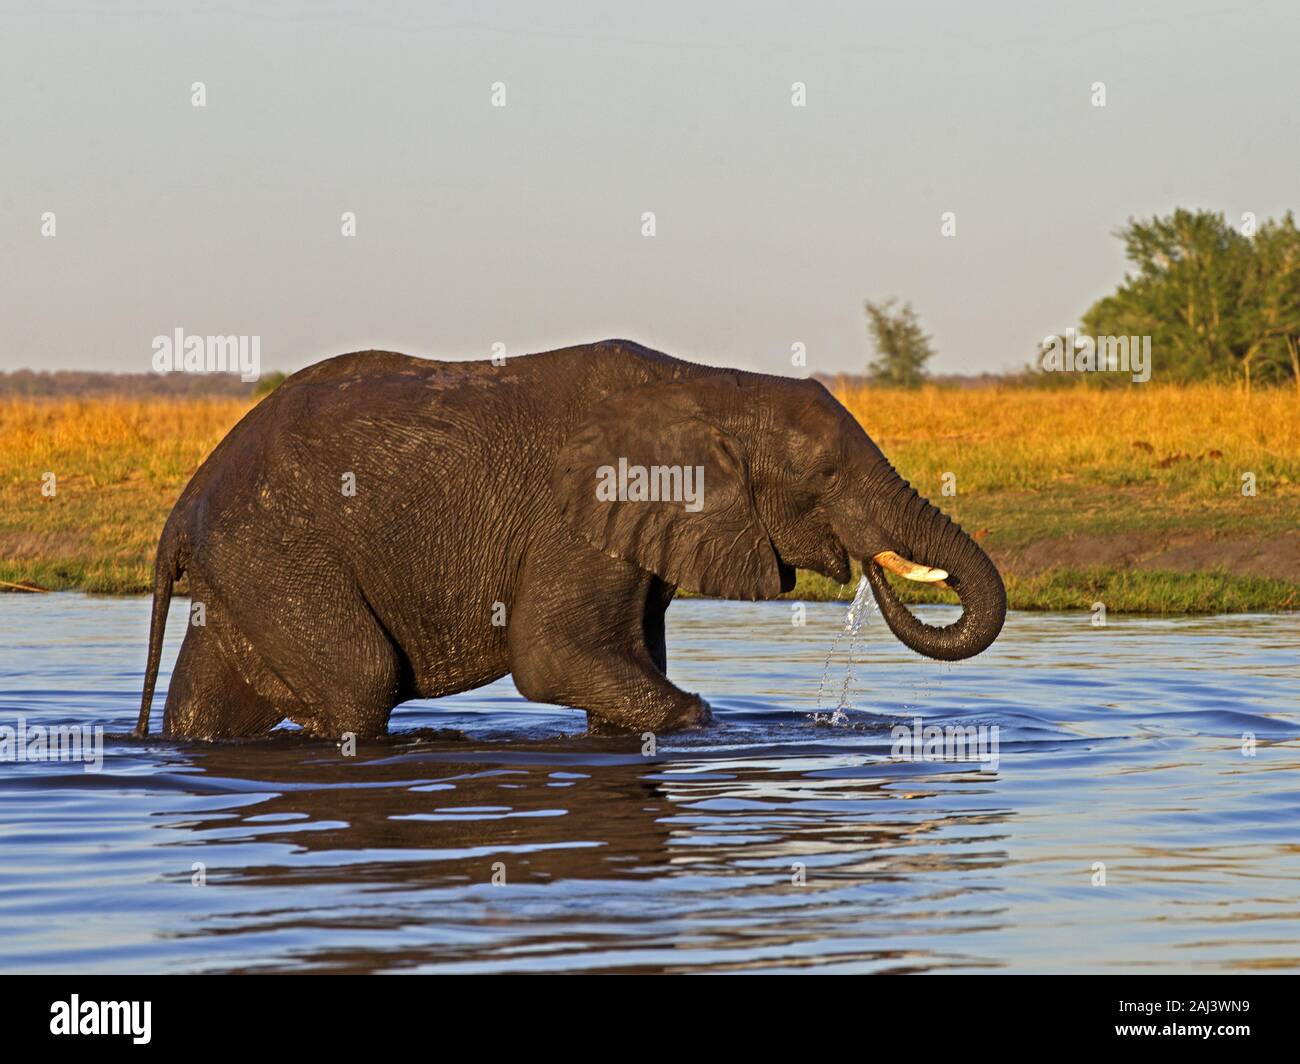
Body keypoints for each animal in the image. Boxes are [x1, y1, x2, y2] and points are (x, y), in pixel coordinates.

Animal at [136, 339, 1006, 740]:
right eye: (823, 475)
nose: (868, 564)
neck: (711, 385)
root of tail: (183, 507)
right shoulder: (581, 518)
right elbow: (554, 654)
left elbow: (617, 662)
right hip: (274, 549)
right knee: (359, 680)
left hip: (243, 567)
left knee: (209, 702)